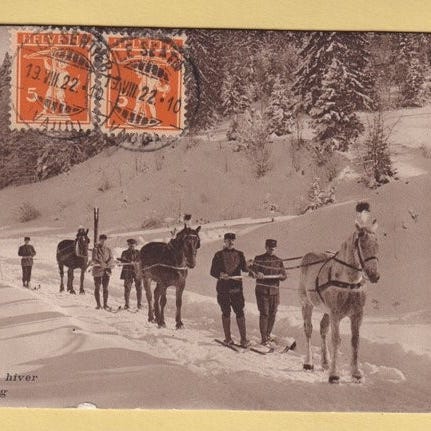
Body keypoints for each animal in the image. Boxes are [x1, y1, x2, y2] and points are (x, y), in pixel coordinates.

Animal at [298, 218, 380, 383]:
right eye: (362, 245)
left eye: (377, 245)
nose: (375, 275)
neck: (349, 282)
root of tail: (307, 256)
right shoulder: (335, 314)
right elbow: (336, 340)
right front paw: (334, 374)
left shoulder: (357, 315)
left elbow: (355, 341)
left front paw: (356, 373)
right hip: (307, 304)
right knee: (308, 329)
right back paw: (309, 362)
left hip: (326, 311)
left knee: (323, 328)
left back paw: (325, 362)